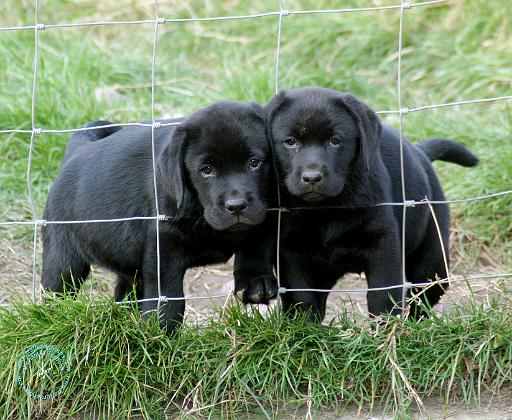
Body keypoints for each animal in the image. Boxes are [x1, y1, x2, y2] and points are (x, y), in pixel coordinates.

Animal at [42, 101, 278, 332]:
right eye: (207, 170)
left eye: (254, 163)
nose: (236, 206)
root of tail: (76, 151)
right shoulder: (165, 239)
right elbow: (168, 292)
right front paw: (160, 329)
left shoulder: (268, 211)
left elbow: (257, 242)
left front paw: (256, 281)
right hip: (63, 254)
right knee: (56, 288)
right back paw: (53, 318)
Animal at [266, 87, 478, 320]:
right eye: (290, 142)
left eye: (335, 140)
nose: (312, 177)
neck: (325, 208)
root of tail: (420, 151)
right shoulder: (290, 250)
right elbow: (301, 298)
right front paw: (305, 326)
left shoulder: (383, 243)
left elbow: (383, 295)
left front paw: (387, 328)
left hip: (433, 258)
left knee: (422, 296)